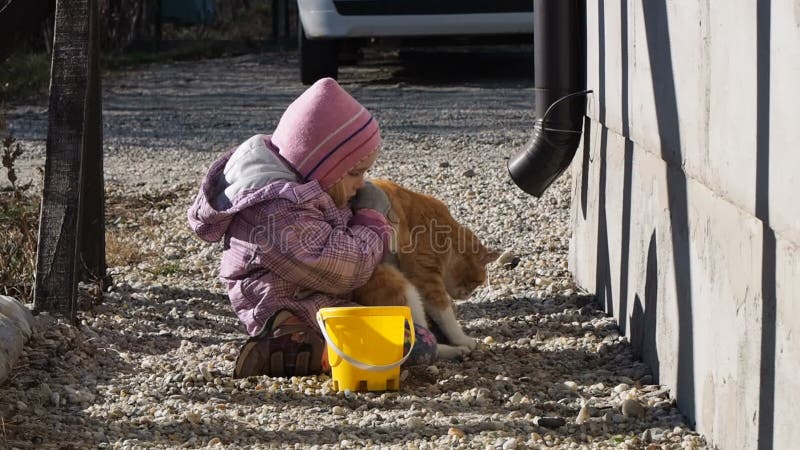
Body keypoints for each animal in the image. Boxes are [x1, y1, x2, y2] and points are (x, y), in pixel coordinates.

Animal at [352, 179, 496, 358]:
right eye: (476, 282)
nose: (468, 296)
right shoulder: (426, 278)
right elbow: (445, 314)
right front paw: (462, 339)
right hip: (399, 287)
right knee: (423, 342)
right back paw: (454, 350)